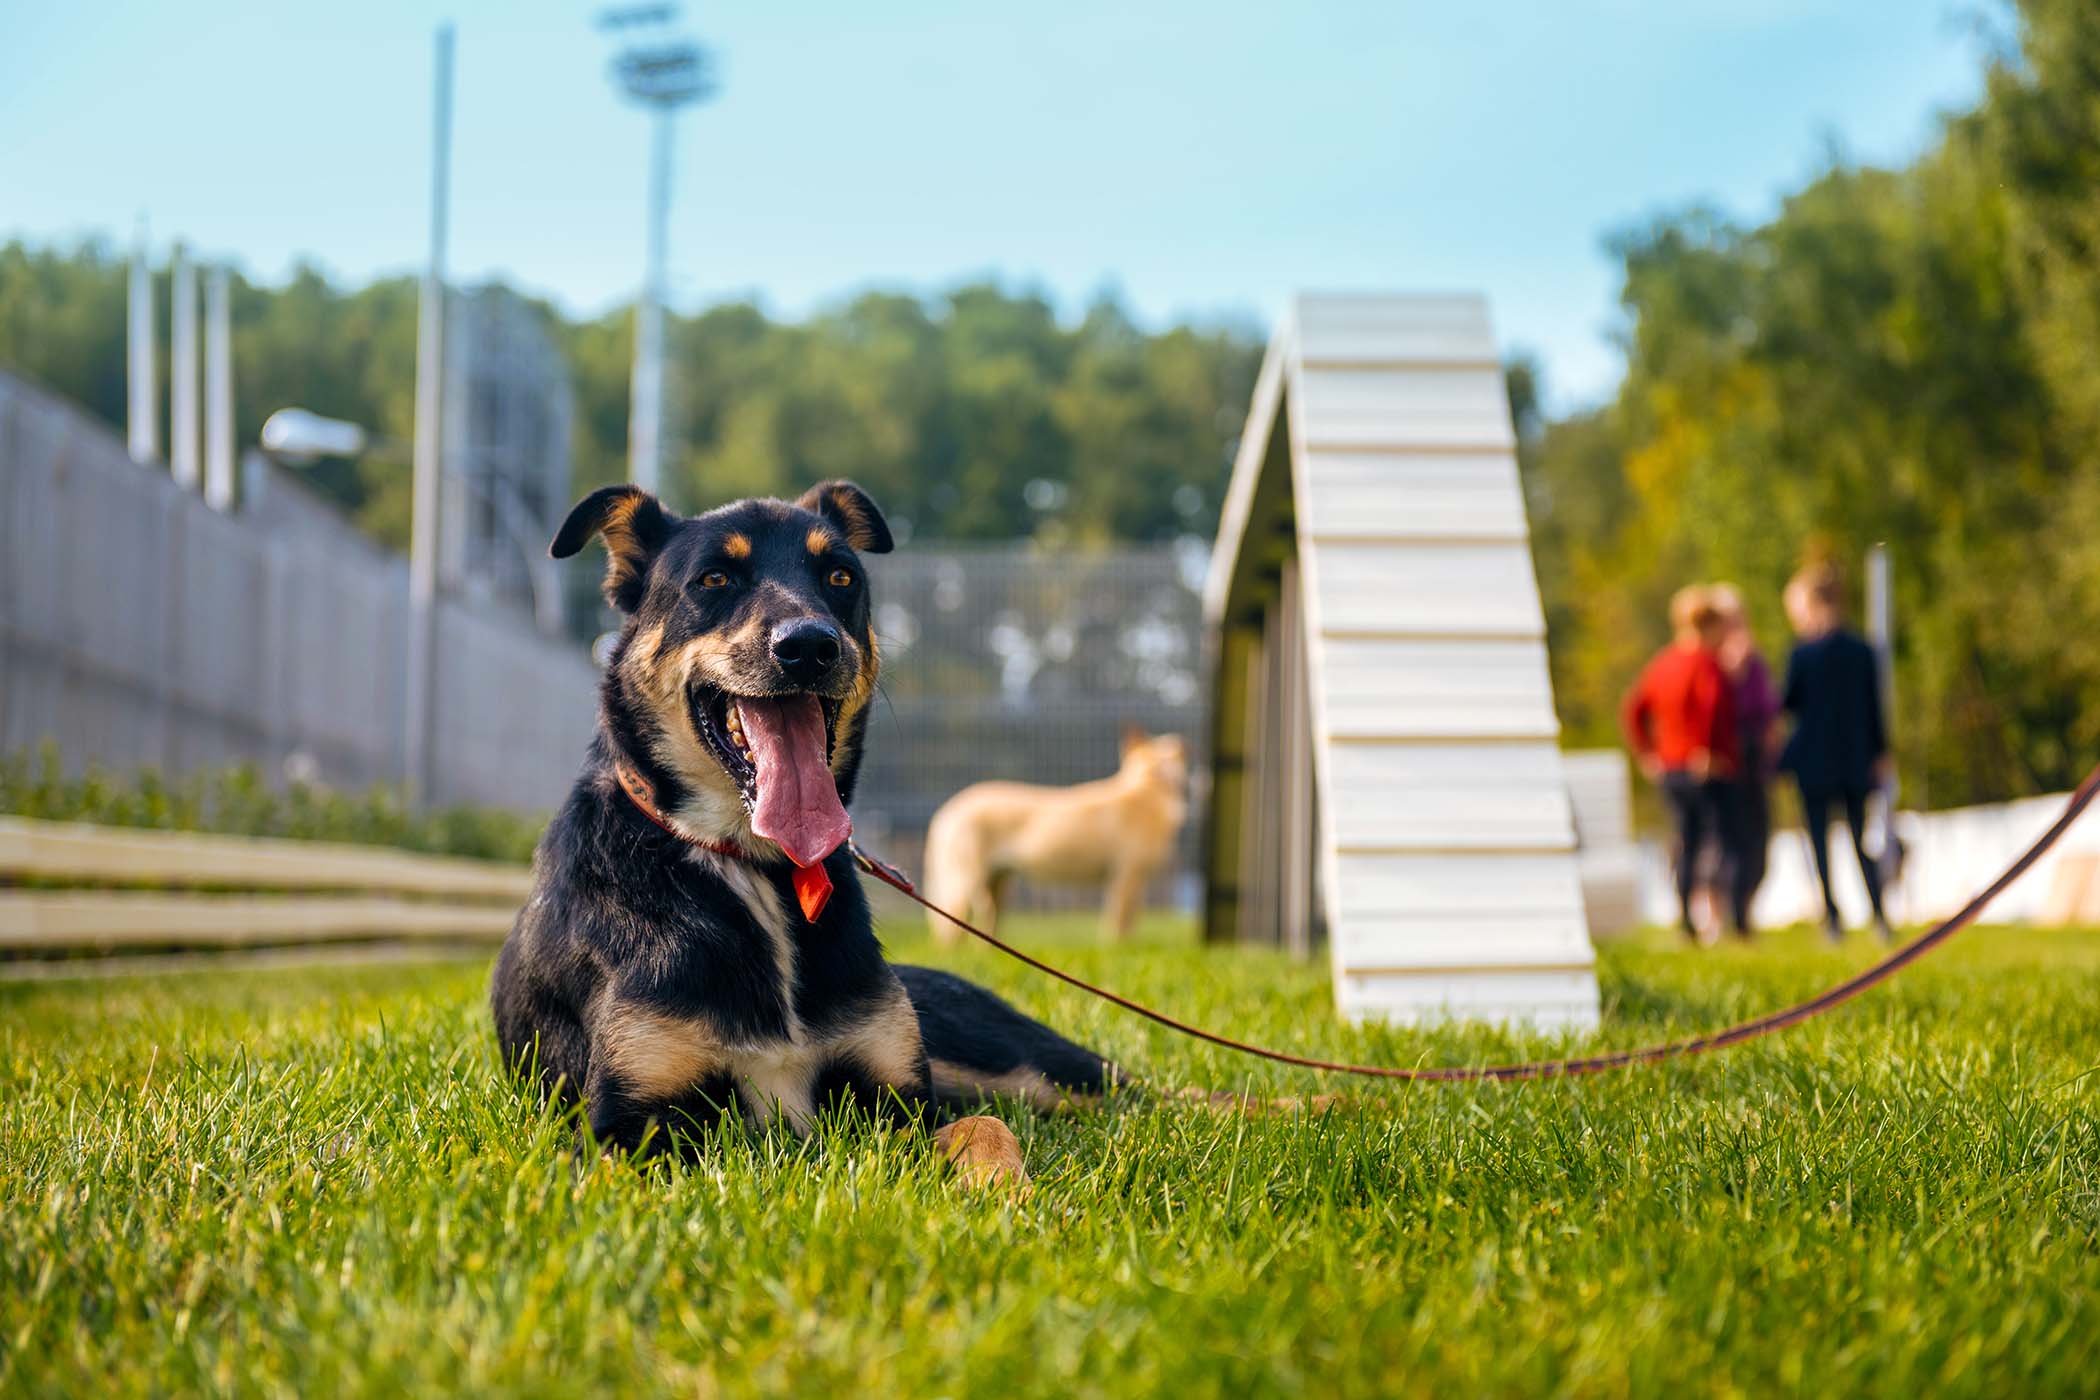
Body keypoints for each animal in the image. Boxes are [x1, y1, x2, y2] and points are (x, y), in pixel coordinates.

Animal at [491, 484, 1117, 1192]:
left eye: (840, 577)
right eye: (715, 578)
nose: (811, 646)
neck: (756, 867)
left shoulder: (903, 1105)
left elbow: (985, 1128)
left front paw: (1004, 1191)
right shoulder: (624, 1126)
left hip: (1025, 1067)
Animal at [923, 734, 1192, 940]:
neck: (1148, 790)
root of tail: (949, 811)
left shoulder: (1135, 879)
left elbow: (1130, 920)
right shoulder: (1126, 875)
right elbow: (1118, 922)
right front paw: (1116, 946)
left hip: (996, 883)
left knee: (986, 922)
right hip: (965, 880)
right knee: (952, 928)